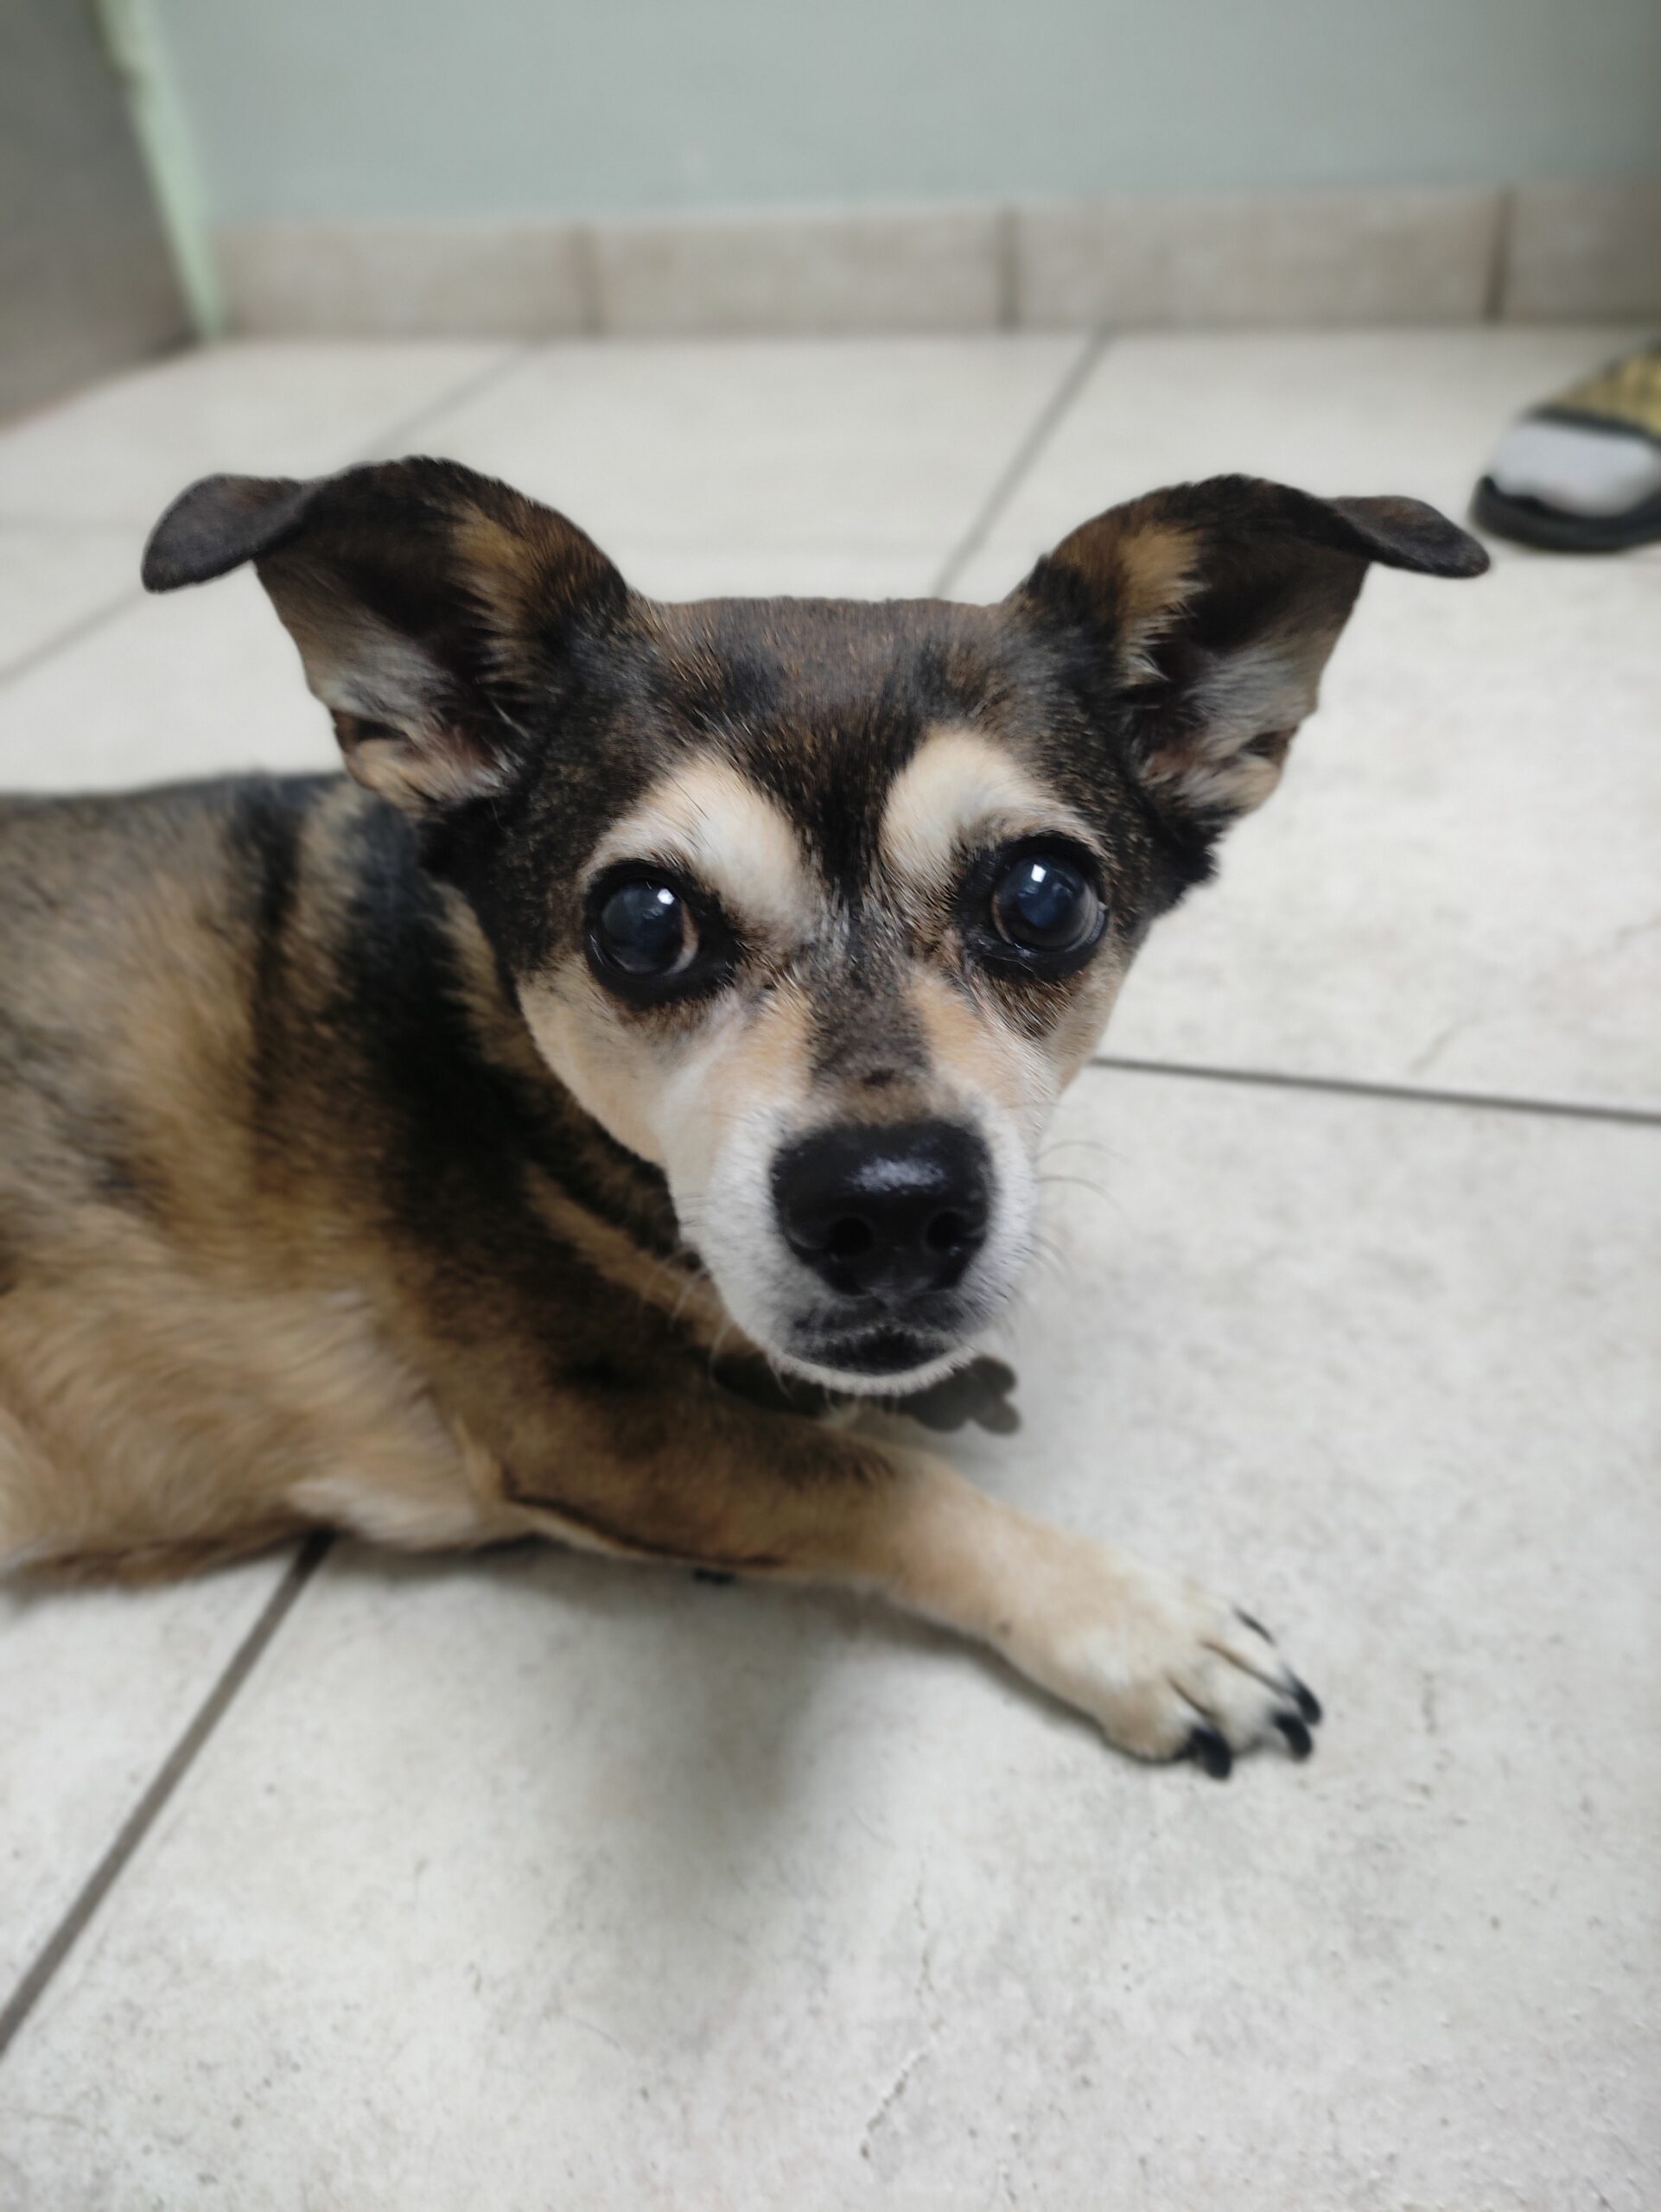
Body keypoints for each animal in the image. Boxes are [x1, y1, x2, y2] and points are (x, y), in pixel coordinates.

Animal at [0, 458, 1486, 1777]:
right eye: (641, 922)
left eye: (1044, 896)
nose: (891, 1204)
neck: (509, 1077)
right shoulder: (581, 1425)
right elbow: (875, 1482)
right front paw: (1134, 1626)